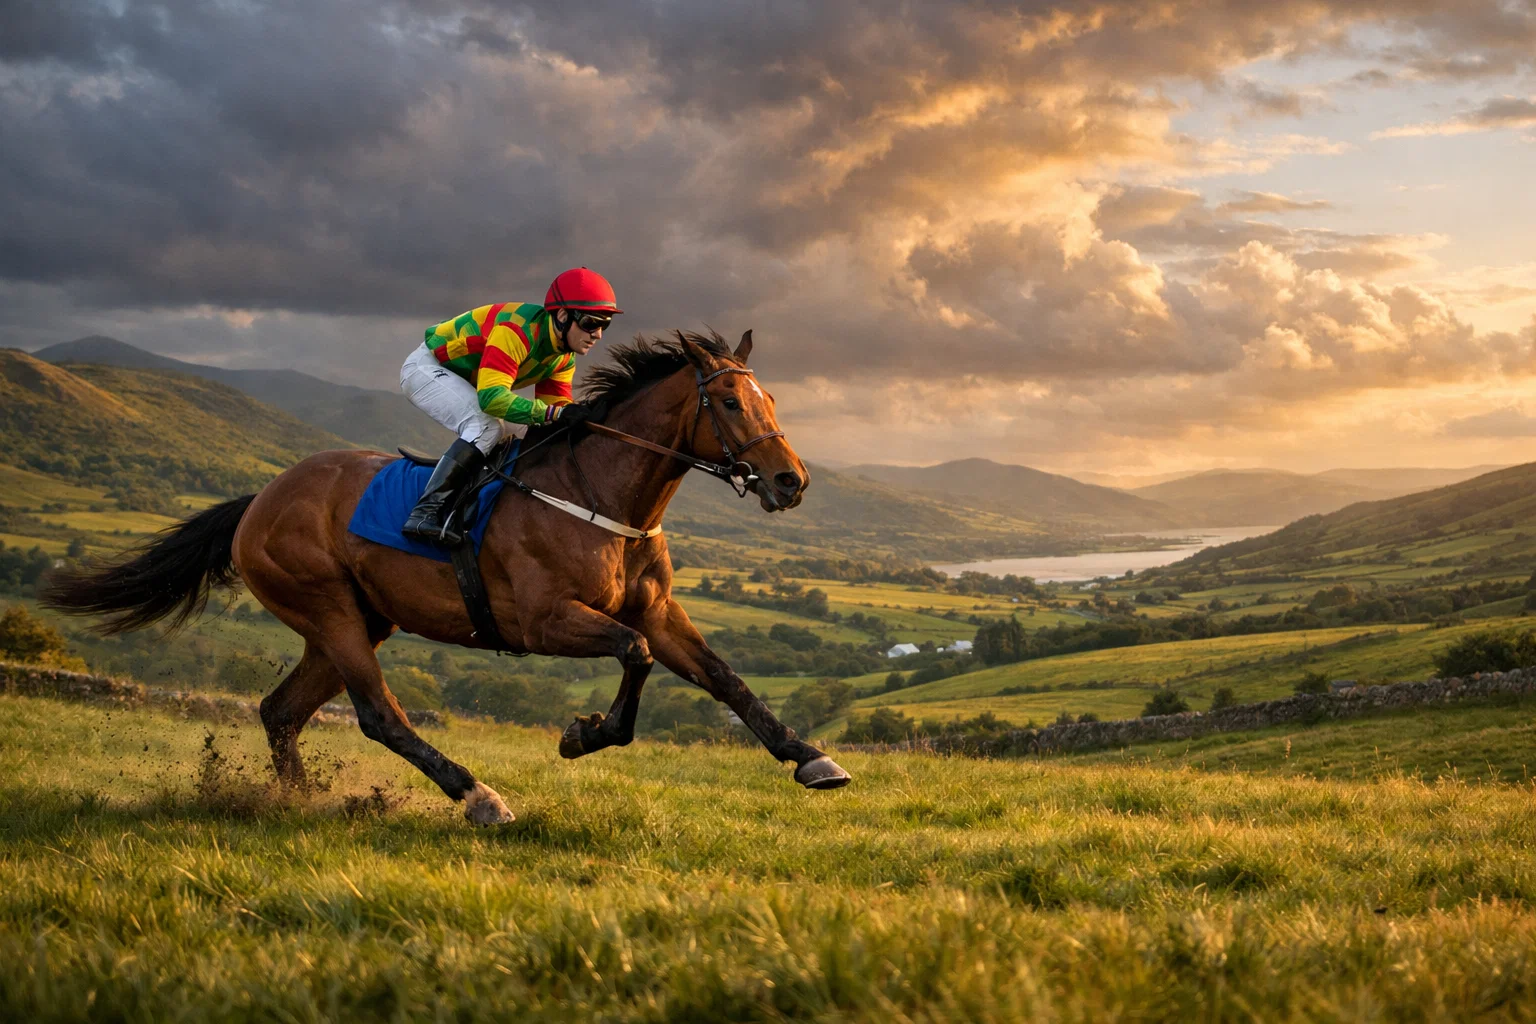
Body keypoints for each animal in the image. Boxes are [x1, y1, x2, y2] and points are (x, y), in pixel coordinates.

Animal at [43, 330, 852, 824]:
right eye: (729, 401)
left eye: (771, 399)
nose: (792, 482)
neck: (600, 494)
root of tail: (260, 500)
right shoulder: (544, 620)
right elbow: (635, 655)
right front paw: (583, 734)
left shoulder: (656, 608)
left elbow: (722, 677)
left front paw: (812, 759)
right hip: (330, 610)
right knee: (379, 715)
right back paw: (477, 795)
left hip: (356, 620)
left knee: (280, 711)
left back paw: (300, 801)